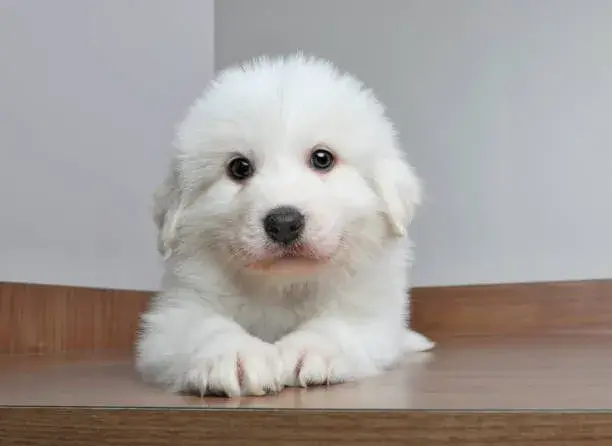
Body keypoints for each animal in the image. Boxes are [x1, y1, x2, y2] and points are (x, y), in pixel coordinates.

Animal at [136, 53, 432, 398]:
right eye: (239, 167)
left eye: (322, 158)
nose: (284, 223)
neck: (284, 288)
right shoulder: (176, 313)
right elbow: (205, 326)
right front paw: (233, 356)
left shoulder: (369, 311)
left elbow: (337, 324)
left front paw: (309, 350)